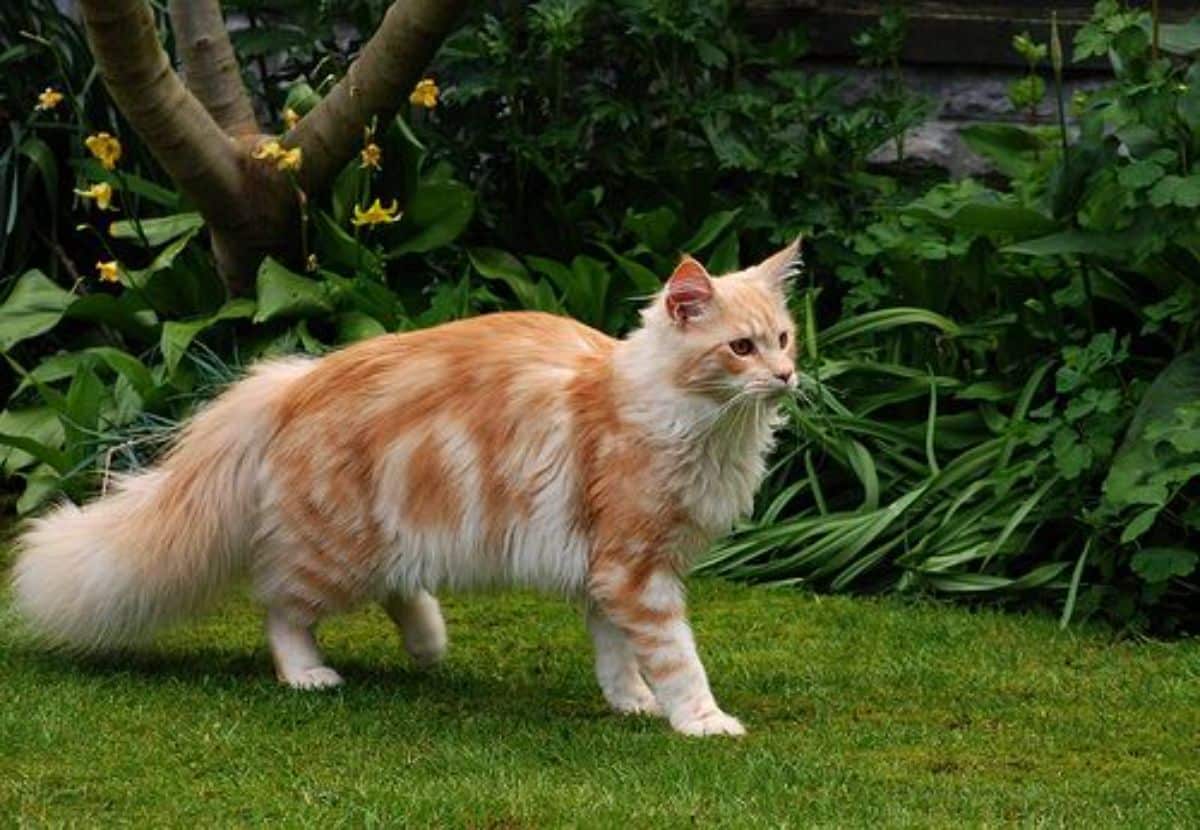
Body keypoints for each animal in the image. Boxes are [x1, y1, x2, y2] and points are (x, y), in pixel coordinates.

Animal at [11, 241, 796, 738]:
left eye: (785, 339)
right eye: (741, 349)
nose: (788, 377)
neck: (685, 418)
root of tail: (293, 380)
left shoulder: (607, 572)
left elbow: (619, 654)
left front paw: (630, 703)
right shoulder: (635, 568)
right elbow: (676, 657)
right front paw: (701, 721)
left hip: (388, 531)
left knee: (393, 586)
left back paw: (428, 645)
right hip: (337, 549)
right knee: (279, 606)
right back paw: (309, 674)